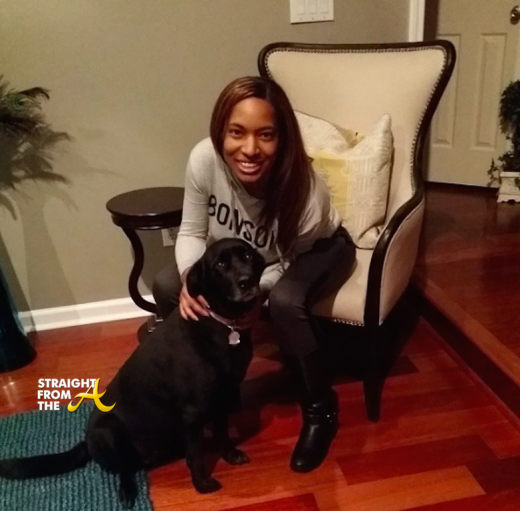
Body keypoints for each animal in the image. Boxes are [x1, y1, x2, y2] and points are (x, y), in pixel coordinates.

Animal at [0, 238, 265, 508]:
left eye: (247, 256)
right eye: (220, 264)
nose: (246, 281)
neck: (223, 324)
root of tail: (86, 441)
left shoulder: (222, 397)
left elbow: (222, 432)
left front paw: (229, 454)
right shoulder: (193, 410)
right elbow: (198, 456)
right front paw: (201, 484)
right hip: (108, 431)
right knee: (124, 469)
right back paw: (127, 492)